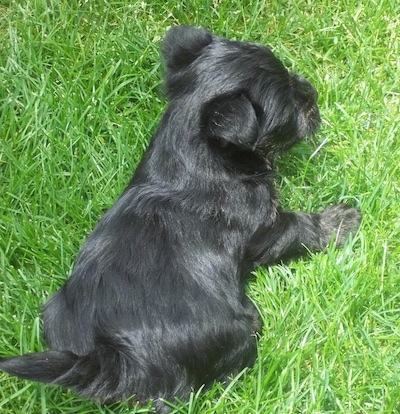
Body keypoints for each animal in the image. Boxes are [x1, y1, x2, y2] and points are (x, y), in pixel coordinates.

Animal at [0, 26, 362, 414]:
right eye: (291, 103)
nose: (310, 89)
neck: (196, 153)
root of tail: (116, 358)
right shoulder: (265, 228)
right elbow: (300, 228)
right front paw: (342, 220)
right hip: (236, 332)